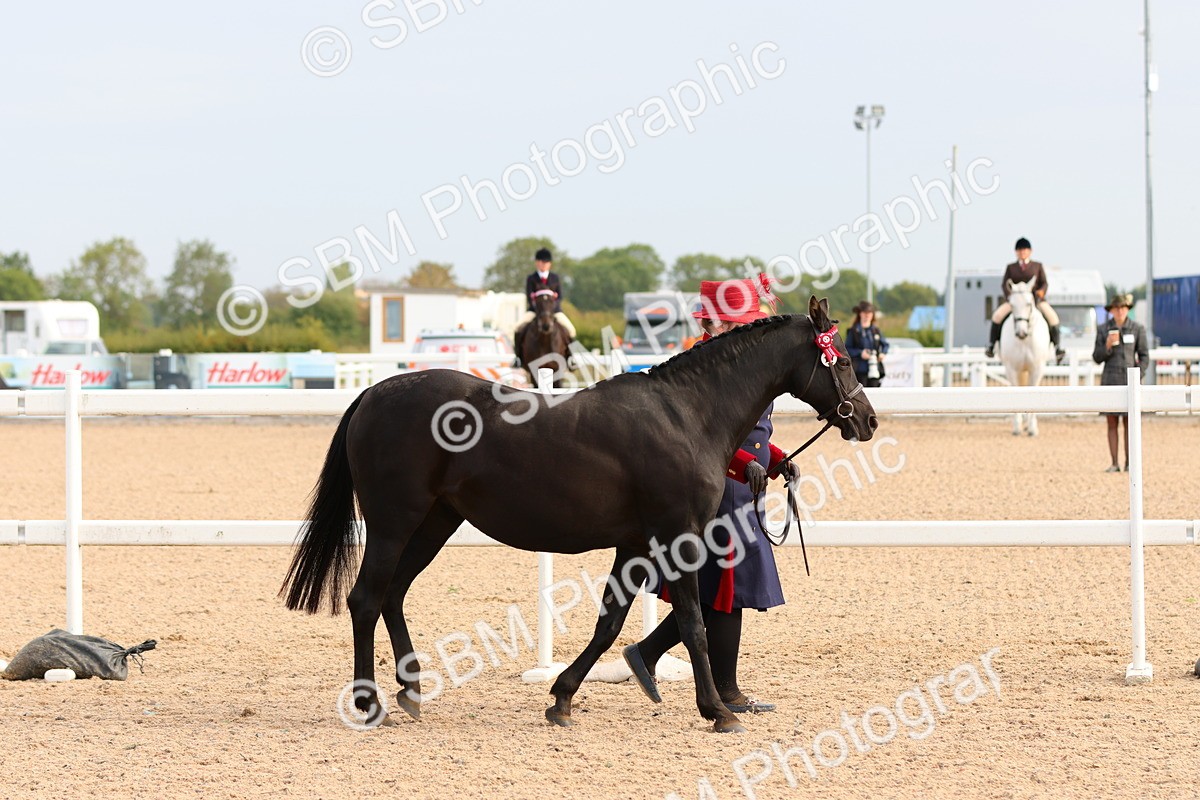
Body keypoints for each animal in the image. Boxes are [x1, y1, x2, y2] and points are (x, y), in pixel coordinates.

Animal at [281, 296, 878, 734]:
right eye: (845, 358)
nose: (867, 420)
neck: (686, 413)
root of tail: (374, 394)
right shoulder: (676, 537)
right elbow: (694, 622)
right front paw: (718, 711)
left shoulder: (635, 543)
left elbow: (610, 622)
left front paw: (562, 698)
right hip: (393, 523)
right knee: (365, 599)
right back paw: (370, 704)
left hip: (434, 523)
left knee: (393, 596)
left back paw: (411, 692)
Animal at [999, 278, 1051, 436]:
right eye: (1011, 304)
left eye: (1029, 304)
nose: (1020, 332)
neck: (1025, 340)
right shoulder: (1011, 369)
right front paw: (1017, 427)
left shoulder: (1037, 368)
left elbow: (1032, 391)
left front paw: (1032, 428)